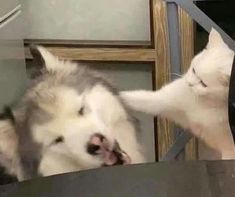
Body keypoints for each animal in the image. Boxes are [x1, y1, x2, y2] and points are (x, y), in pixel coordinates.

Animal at [121, 28, 235, 159]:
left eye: (203, 83)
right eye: (194, 70)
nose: (189, 83)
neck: (204, 103)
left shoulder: (229, 148)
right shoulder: (163, 100)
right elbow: (136, 98)